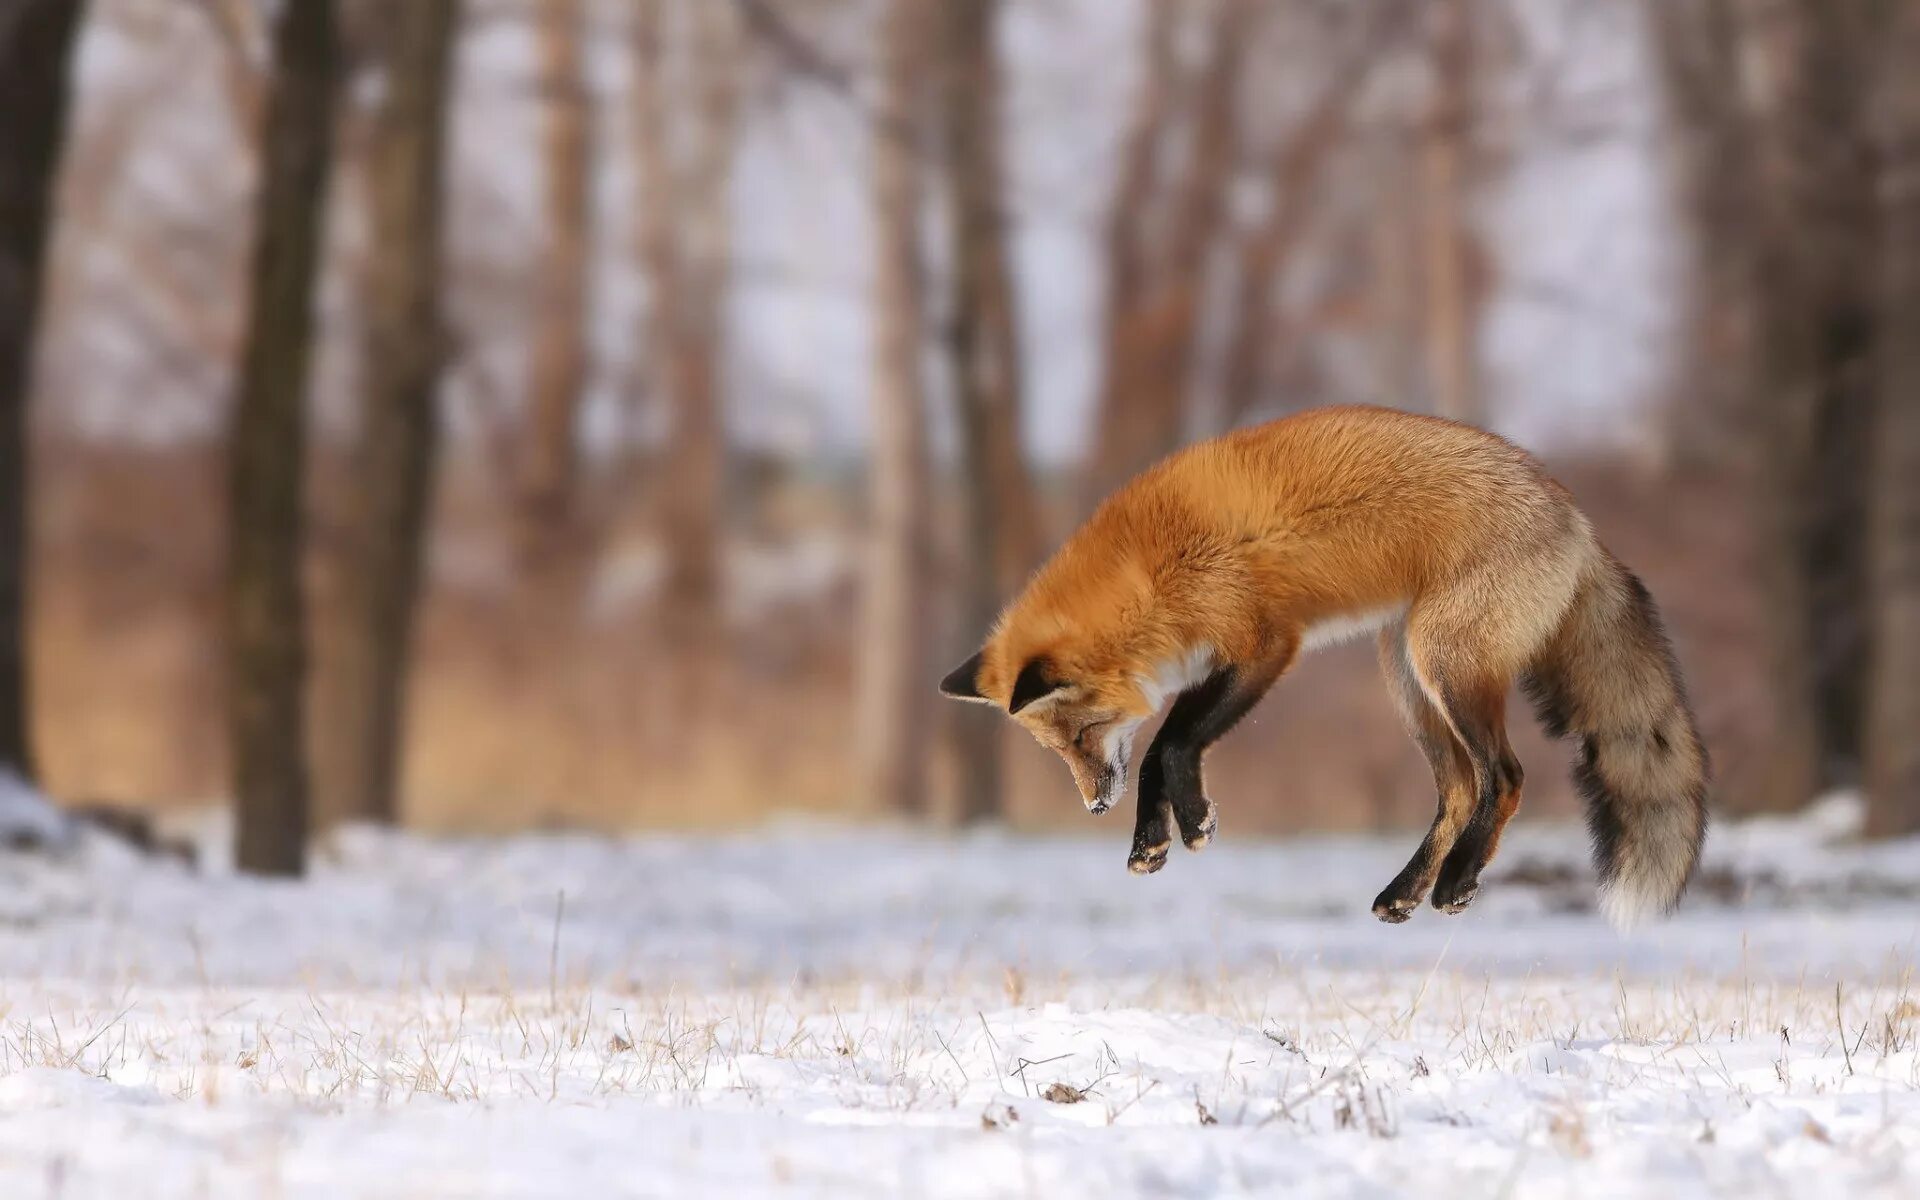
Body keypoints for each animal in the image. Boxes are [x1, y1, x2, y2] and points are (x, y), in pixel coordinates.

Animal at [936, 403, 1704, 925]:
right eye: (1057, 749)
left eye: (1080, 735)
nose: (1094, 805)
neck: (1148, 571)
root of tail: (1575, 515)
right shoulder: (1225, 657)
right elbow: (1161, 750)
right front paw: (1155, 839)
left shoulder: (1264, 645)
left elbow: (1169, 743)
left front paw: (1188, 822)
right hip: (1407, 680)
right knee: (1460, 790)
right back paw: (1404, 893)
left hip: (1446, 665)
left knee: (1505, 777)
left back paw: (1456, 882)